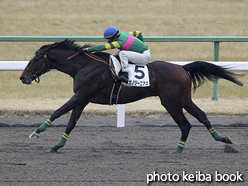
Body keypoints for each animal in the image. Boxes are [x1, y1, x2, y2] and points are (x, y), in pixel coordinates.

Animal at [19, 38, 242, 153]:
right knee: (202, 116)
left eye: (36, 59)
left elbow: (57, 112)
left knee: (185, 125)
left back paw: (178, 150)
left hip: (171, 103)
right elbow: (71, 122)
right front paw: (57, 145)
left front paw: (36, 132)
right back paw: (223, 139)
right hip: (184, 100)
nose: (23, 77)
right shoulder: (83, 98)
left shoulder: (82, 95)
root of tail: (182, 68)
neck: (84, 65)